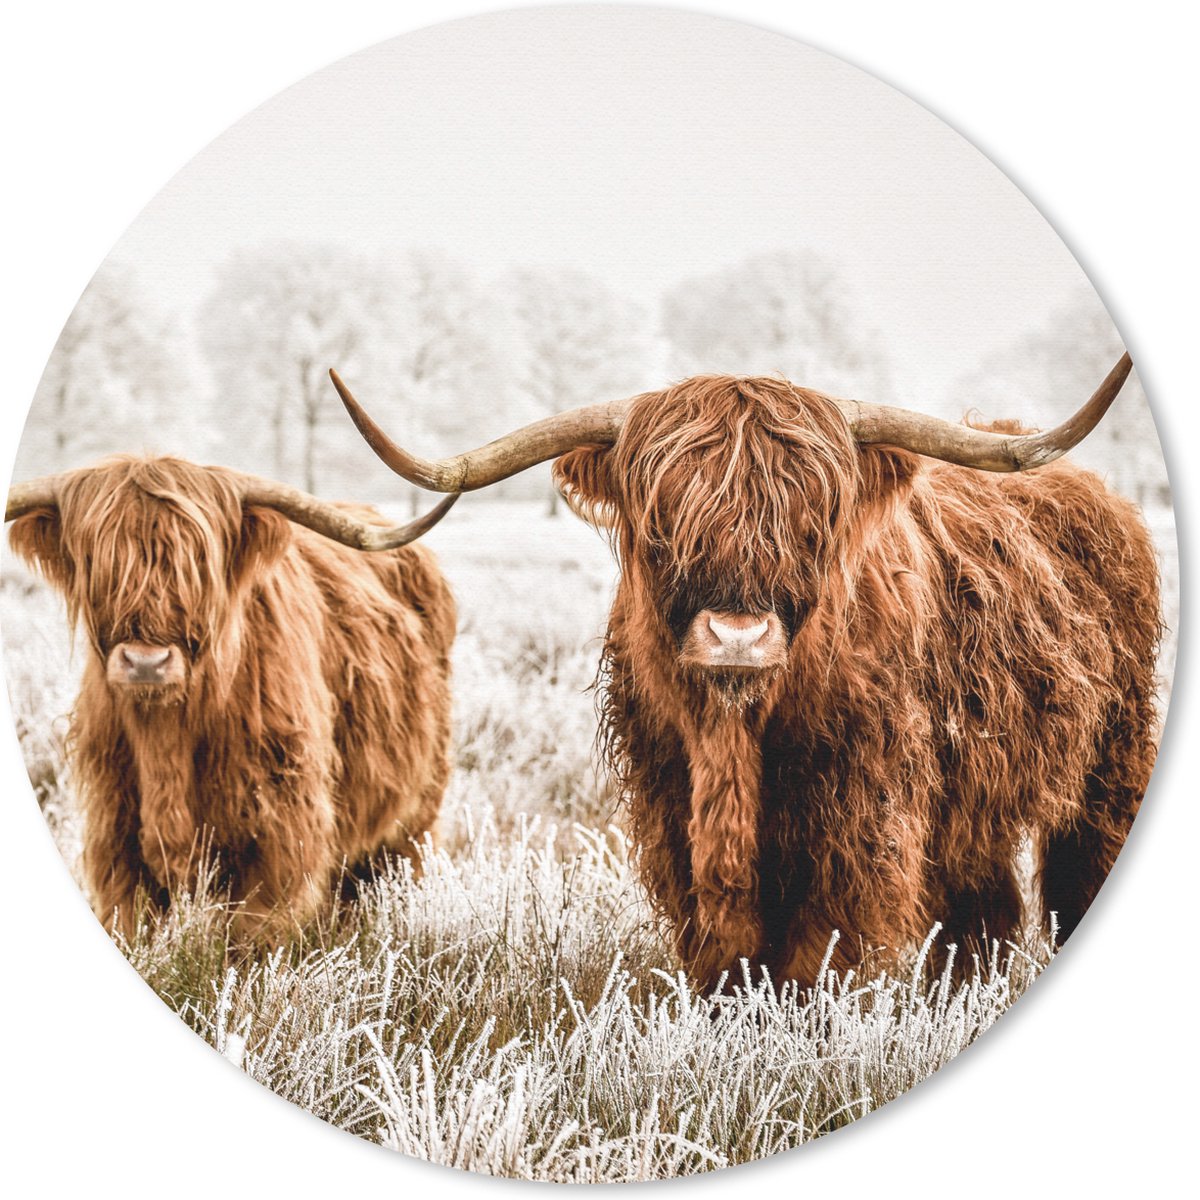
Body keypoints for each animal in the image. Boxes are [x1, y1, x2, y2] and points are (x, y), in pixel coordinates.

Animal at [6, 456, 459, 940]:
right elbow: (132, 921)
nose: (146, 662)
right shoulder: (115, 835)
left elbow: (252, 935)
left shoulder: (279, 837)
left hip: (415, 814)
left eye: (200, 563)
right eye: (96, 560)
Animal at [328, 354, 1161, 992]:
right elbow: (721, 948)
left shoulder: (862, 816)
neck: (734, 734)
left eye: (813, 521)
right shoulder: (671, 805)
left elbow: (819, 950)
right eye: (662, 522)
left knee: (1079, 870)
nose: (738, 635)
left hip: (1112, 759)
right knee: (982, 904)